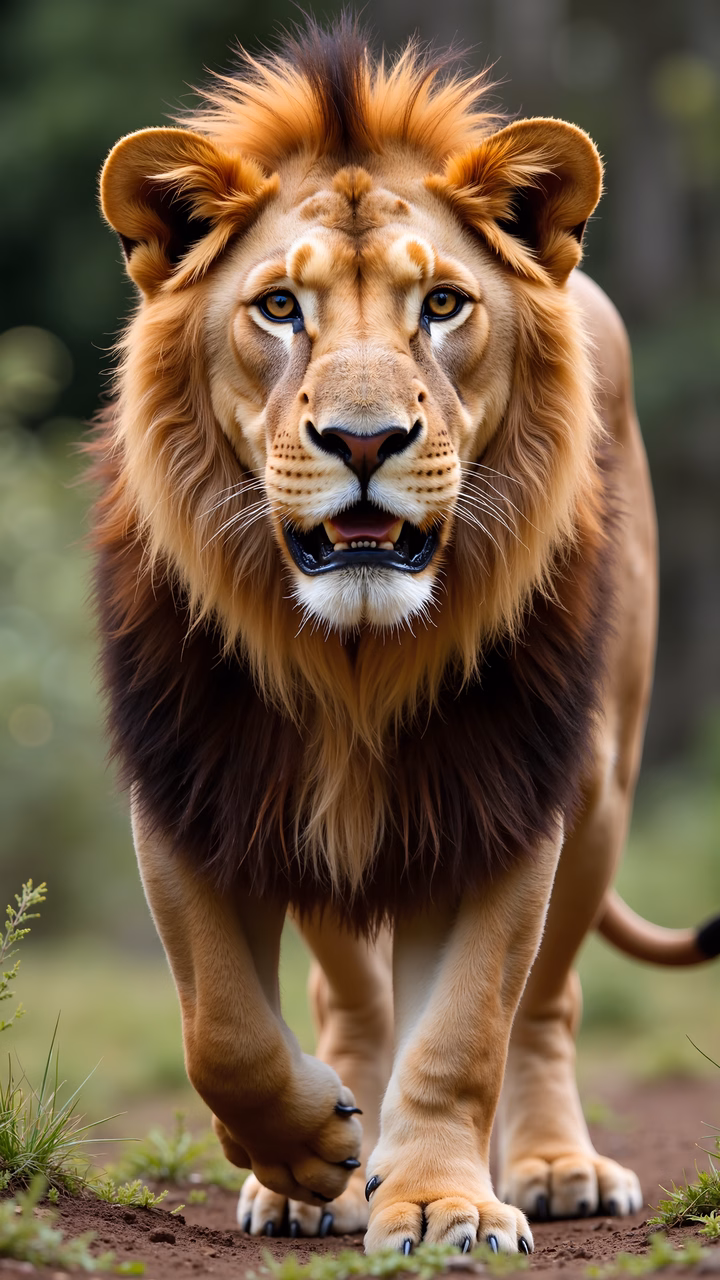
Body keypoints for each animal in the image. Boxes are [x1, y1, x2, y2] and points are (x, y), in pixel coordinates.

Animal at [94, 18, 720, 1255]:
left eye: (440, 305)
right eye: (279, 309)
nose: (365, 439)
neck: (355, 662)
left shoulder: (509, 791)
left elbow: (467, 1027)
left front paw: (438, 1202)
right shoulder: (190, 786)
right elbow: (222, 1024)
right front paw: (310, 1152)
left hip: (602, 787)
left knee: (550, 1003)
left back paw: (554, 1165)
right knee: (347, 997)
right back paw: (322, 1174)